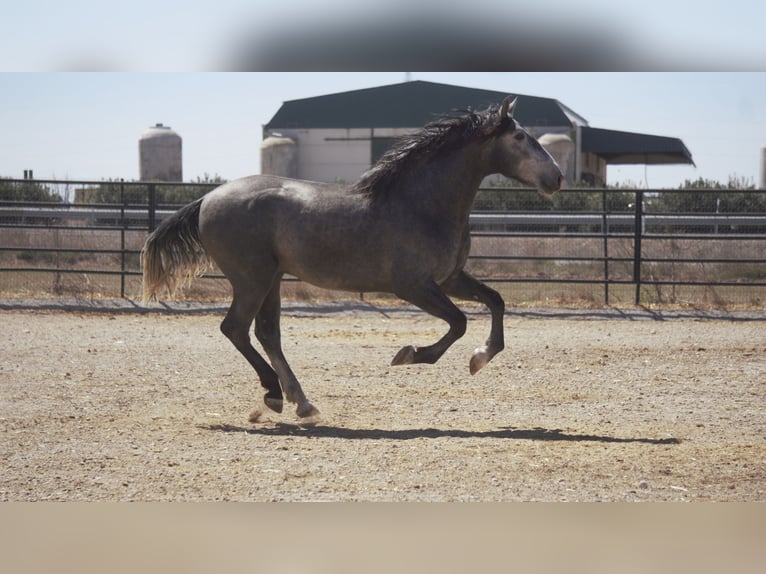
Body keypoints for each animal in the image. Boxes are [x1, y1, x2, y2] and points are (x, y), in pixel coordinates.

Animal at [142, 97, 564, 420]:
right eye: (520, 136)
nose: (557, 178)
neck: (421, 203)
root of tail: (207, 199)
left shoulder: (450, 278)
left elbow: (496, 301)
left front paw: (480, 357)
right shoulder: (413, 286)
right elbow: (458, 323)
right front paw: (410, 355)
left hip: (272, 279)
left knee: (266, 333)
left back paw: (301, 403)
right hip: (252, 278)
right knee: (236, 329)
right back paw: (275, 394)